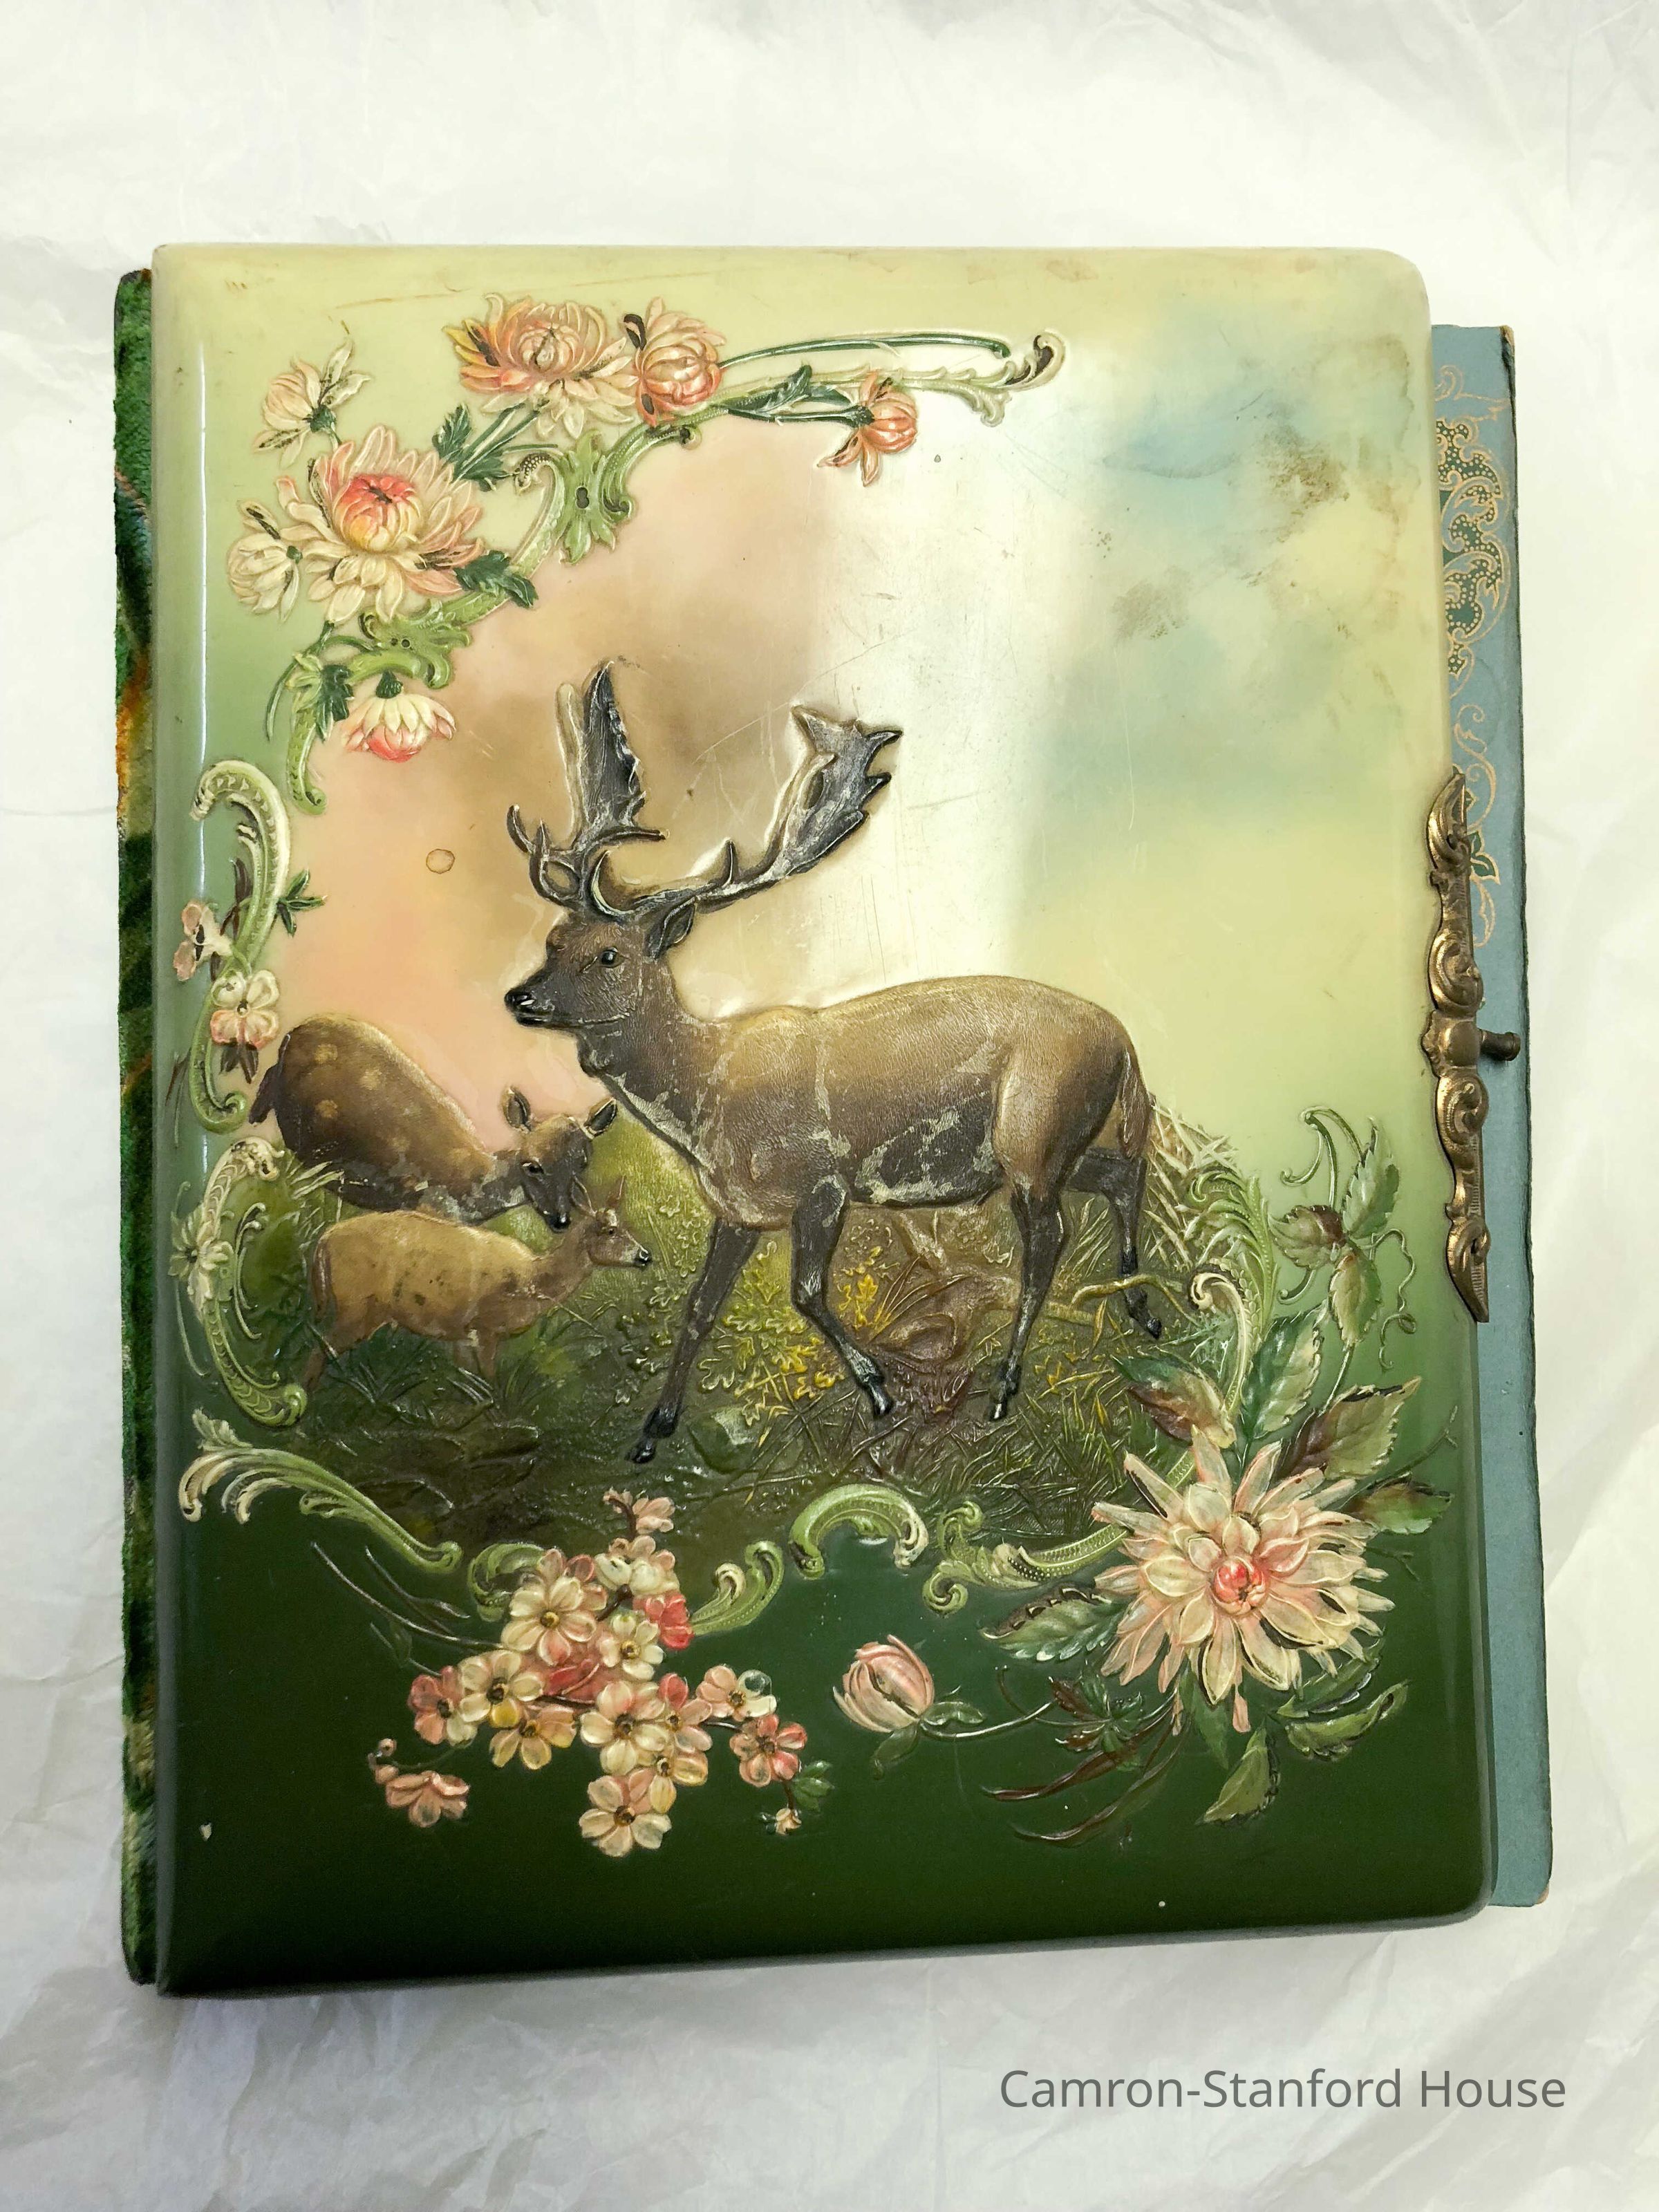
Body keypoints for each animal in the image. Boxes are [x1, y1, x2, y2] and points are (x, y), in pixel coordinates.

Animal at [306, 1182, 651, 1383]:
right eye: (610, 1231)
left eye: (625, 1228)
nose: (645, 1256)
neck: (531, 1281)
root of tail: (325, 1240)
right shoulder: (486, 1328)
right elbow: (490, 1386)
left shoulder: (460, 1333)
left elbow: (465, 1384)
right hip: (356, 1304)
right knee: (321, 1348)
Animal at [504, 666, 1159, 1466]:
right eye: (553, 938)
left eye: (609, 954)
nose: (520, 996)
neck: (705, 1098)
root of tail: (1125, 1042)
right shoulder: (736, 1209)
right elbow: (698, 1307)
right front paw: (653, 1429)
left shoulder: (822, 1184)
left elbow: (807, 1292)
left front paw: (878, 1388)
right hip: (1050, 1143)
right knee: (1122, 1173)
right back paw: (1140, 1304)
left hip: (1034, 1133)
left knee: (1048, 1244)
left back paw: (1007, 1385)